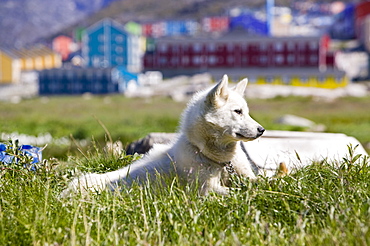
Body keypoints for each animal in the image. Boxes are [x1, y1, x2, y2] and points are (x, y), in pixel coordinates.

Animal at [64, 75, 266, 196]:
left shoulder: (247, 176)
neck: (221, 162)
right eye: (238, 111)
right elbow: (233, 192)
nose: (261, 130)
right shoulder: (207, 190)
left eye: (246, 112)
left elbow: (262, 181)